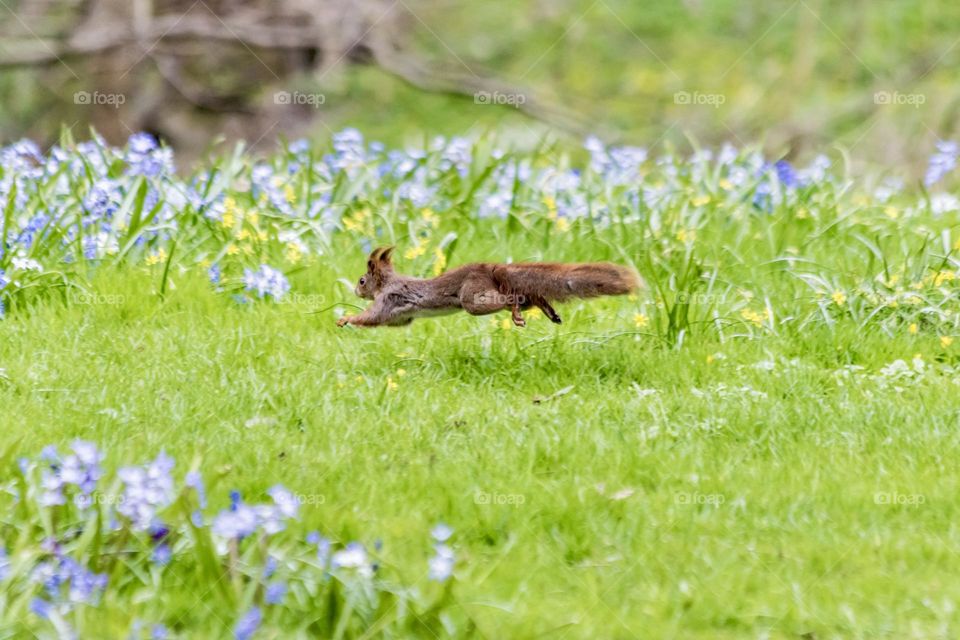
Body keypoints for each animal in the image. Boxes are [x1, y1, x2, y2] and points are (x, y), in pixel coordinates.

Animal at [336, 246, 640, 328]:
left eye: (362, 280)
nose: (356, 291)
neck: (387, 282)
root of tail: (491, 268)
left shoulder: (389, 299)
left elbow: (373, 316)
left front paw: (346, 318)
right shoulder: (401, 315)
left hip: (472, 298)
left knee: (509, 299)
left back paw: (516, 313)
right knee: (529, 296)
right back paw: (548, 311)